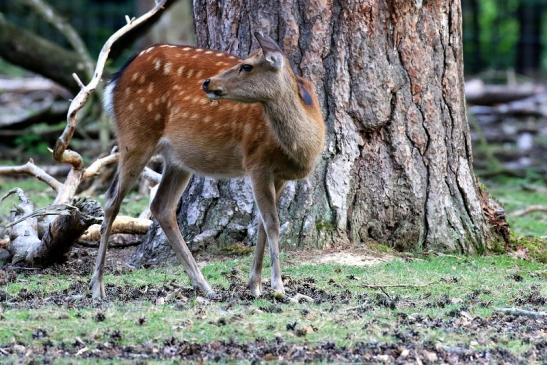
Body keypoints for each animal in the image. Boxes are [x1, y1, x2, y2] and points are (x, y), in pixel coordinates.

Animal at [93, 32, 326, 298]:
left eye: (247, 66)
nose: (207, 83)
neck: (303, 148)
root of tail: (116, 78)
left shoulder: (280, 175)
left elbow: (262, 225)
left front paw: (254, 285)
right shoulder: (256, 161)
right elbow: (272, 224)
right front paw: (278, 287)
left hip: (177, 159)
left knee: (161, 206)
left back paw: (204, 286)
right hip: (135, 135)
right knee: (111, 201)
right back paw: (97, 286)